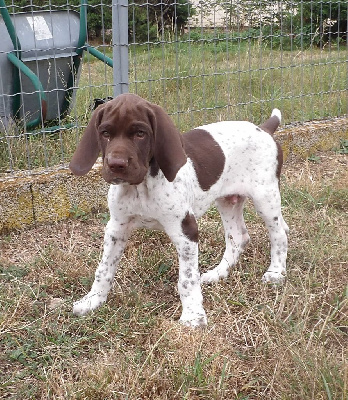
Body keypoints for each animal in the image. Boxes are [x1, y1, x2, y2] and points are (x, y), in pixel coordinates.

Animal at [70, 94, 288, 328]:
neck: (141, 187)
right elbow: (103, 269)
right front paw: (93, 300)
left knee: (280, 234)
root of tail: (263, 128)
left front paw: (193, 315)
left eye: (140, 134)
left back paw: (276, 272)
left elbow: (187, 279)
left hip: (265, 198)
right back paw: (218, 274)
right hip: (227, 200)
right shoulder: (116, 228)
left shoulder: (186, 231)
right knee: (238, 237)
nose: (115, 164)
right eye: (105, 133)